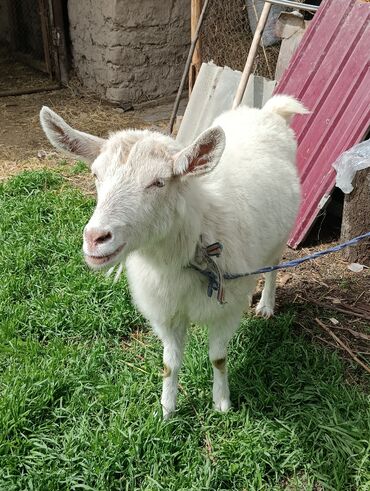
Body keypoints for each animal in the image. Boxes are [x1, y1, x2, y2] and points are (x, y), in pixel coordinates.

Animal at [39, 97, 306, 418]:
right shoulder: (166, 312)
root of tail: (268, 111)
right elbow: (170, 364)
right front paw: (167, 409)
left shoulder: (226, 310)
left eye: (158, 182)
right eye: (95, 175)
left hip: (280, 238)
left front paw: (222, 403)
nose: (95, 238)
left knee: (273, 268)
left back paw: (266, 305)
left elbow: (218, 358)